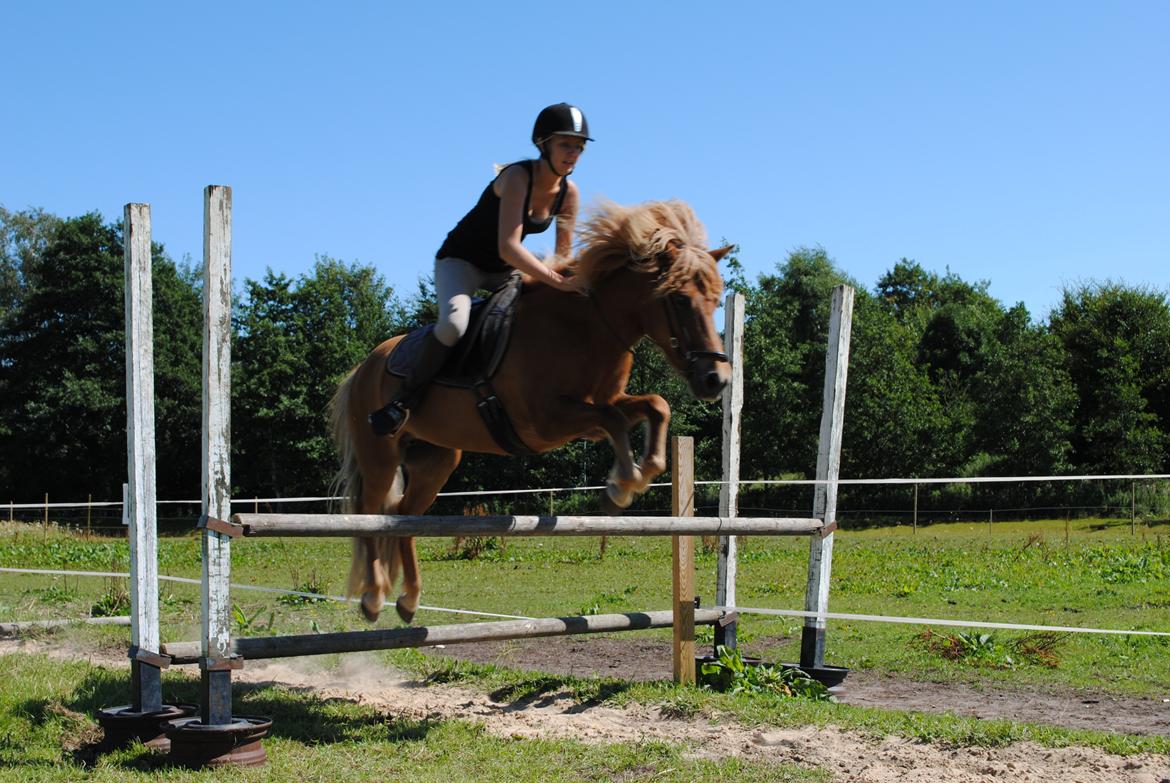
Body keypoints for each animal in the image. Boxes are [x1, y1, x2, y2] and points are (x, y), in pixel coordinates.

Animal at [329, 200, 730, 622]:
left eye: (717, 300)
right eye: (681, 299)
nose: (716, 379)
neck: (585, 327)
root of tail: (364, 367)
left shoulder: (595, 408)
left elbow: (654, 406)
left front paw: (641, 472)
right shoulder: (545, 421)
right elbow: (615, 420)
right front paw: (622, 485)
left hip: (437, 461)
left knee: (403, 515)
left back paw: (408, 600)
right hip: (380, 455)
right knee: (370, 512)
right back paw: (374, 597)